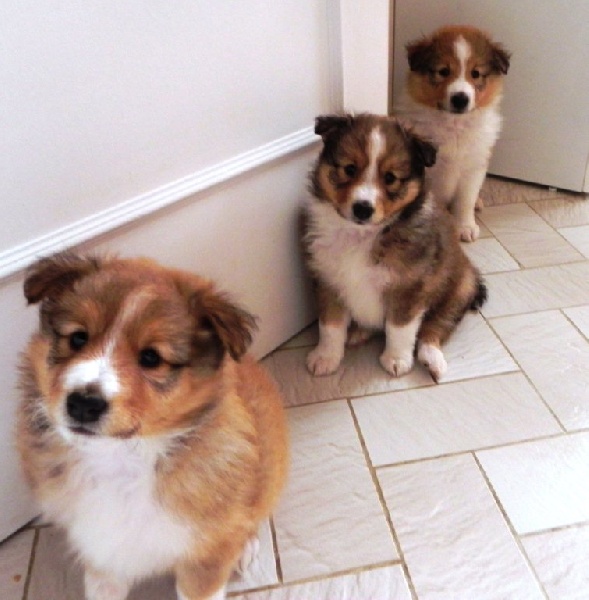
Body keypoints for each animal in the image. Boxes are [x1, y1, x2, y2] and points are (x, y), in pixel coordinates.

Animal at [16, 252, 288, 600]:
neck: (121, 458)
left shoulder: (203, 562)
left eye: (151, 358)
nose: (83, 404)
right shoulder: (102, 556)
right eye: (78, 338)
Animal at [306, 113, 484, 380]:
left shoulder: (410, 287)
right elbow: (330, 324)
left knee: (435, 327)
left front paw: (397, 360)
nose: (362, 208)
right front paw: (326, 357)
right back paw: (359, 332)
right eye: (349, 169)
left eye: (390, 178)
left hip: (460, 290)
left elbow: (399, 328)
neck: (362, 235)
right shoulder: (328, 280)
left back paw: (432, 358)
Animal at [396, 25, 510, 241]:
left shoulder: (473, 168)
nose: (460, 99)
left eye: (476, 73)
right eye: (443, 71)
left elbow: (465, 201)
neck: (455, 125)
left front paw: (465, 227)